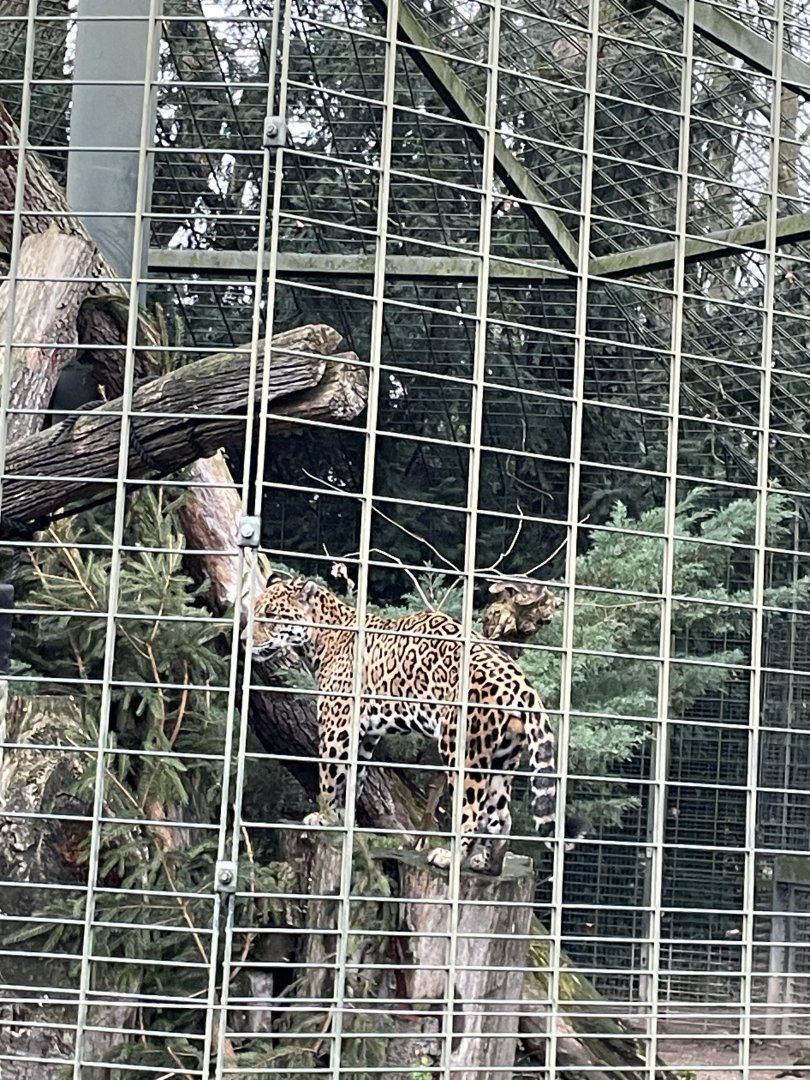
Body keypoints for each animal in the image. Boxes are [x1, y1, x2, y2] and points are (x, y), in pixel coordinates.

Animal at [249, 574, 567, 875]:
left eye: (271, 616)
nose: (246, 639)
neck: (321, 638)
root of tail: (519, 681)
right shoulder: (364, 734)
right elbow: (353, 778)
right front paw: (342, 820)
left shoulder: (337, 725)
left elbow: (329, 776)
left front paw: (324, 818)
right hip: (503, 757)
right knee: (501, 817)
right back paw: (488, 865)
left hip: (462, 749)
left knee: (472, 813)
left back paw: (449, 858)